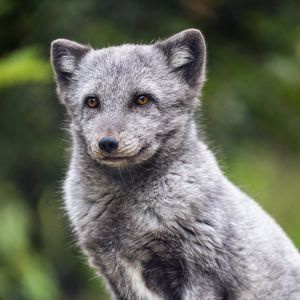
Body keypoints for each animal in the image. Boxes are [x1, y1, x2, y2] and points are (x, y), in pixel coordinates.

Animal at [50, 28, 298, 300]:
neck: (128, 208)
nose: (106, 143)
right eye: (92, 101)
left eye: (142, 99)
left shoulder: (202, 274)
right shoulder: (114, 275)